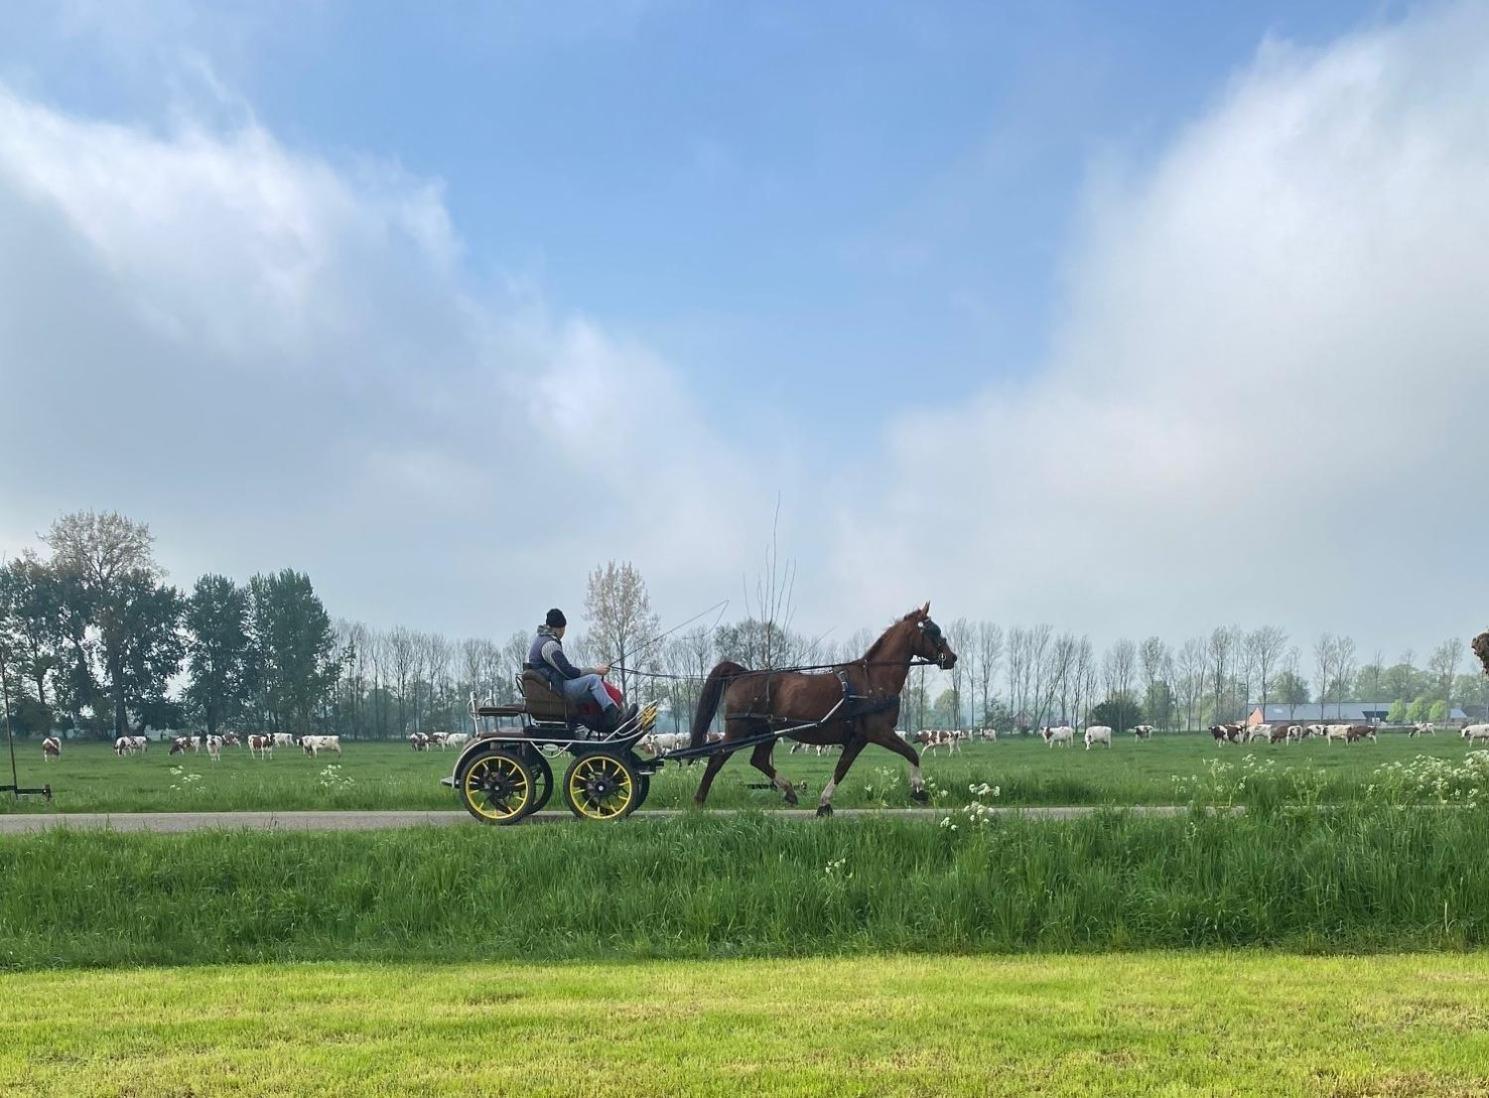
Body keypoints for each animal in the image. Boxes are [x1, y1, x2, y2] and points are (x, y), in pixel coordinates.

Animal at [690, 598, 958, 816]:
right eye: (933, 631)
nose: (952, 657)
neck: (873, 680)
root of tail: (742, 674)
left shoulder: (858, 738)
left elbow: (842, 768)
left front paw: (824, 803)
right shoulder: (878, 732)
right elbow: (911, 752)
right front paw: (919, 790)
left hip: (768, 733)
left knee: (759, 760)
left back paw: (789, 791)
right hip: (740, 730)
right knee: (717, 758)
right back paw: (699, 801)